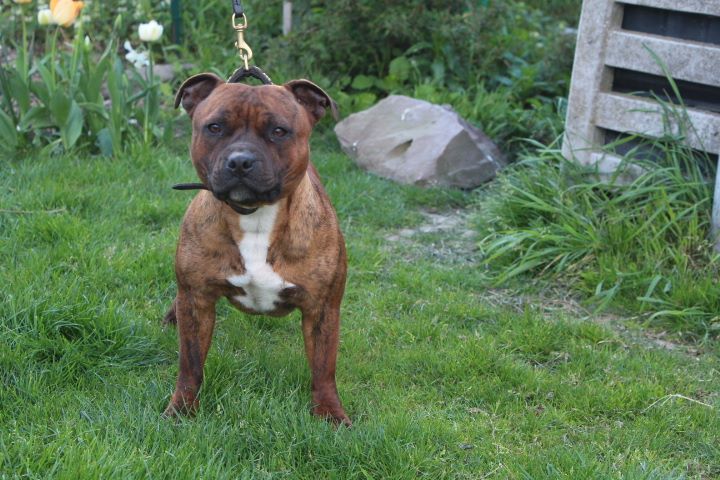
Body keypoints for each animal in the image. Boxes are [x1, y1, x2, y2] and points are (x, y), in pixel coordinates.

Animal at [162, 73, 350, 426]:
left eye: (279, 131)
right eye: (214, 127)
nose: (240, 161)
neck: (255, 217)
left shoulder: (322, 310)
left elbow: (324, 368)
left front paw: (330, 413)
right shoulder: (196, 299)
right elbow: (190, 363)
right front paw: (181, 409)